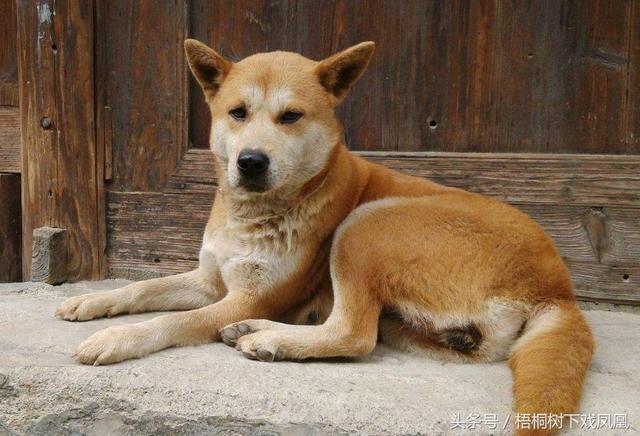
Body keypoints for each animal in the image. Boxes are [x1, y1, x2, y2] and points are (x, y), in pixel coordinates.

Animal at [56, 39, 596, 434]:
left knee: (354, 335)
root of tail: (558, 289)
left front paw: (117, 338)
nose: (251, 162)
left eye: (291, 116)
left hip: (365, 226)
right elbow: (143, 288)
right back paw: (256, 333)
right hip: (421, 324)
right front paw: (91, 302)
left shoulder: (253, 295)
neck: (256, 213)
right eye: (237, 112)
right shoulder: (211, 281)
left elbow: (171, 320)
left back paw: (267, 337)